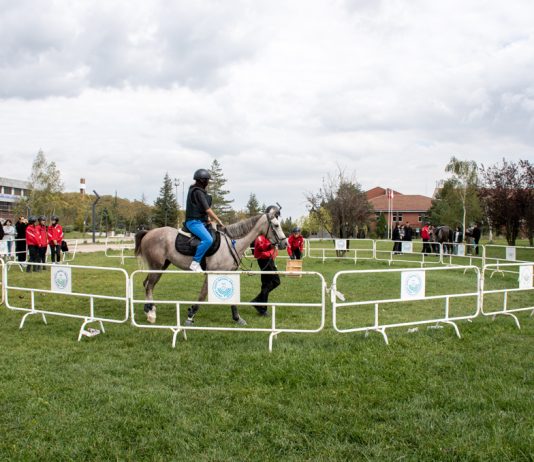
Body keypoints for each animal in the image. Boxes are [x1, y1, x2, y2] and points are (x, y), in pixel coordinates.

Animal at [134, 207, 287, 326]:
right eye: (276, 225)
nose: (285, 243)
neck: (232, 243)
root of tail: (149, 232)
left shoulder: (228, 273)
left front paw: (237, 318)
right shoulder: (211, 273)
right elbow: (202, 295)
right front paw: (190, 315)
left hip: (161, 266)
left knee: (147, 284)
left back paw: (148, 309)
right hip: (156, 266)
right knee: (149, 286)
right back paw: (151, 314)